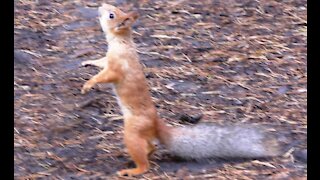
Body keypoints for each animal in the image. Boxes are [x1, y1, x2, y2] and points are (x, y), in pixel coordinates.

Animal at [81, 3, 282, 176]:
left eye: (111, 15)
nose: (102, 5)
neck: (121, 41)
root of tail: (155, 123)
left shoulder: (117, 67)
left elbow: (107, 76)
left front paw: (89, 84)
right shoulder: (108, 60)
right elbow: (100, 62)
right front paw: (88, 62)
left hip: (132, 132)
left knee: (144, 160)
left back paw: (134, 170)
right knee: (151, 146)